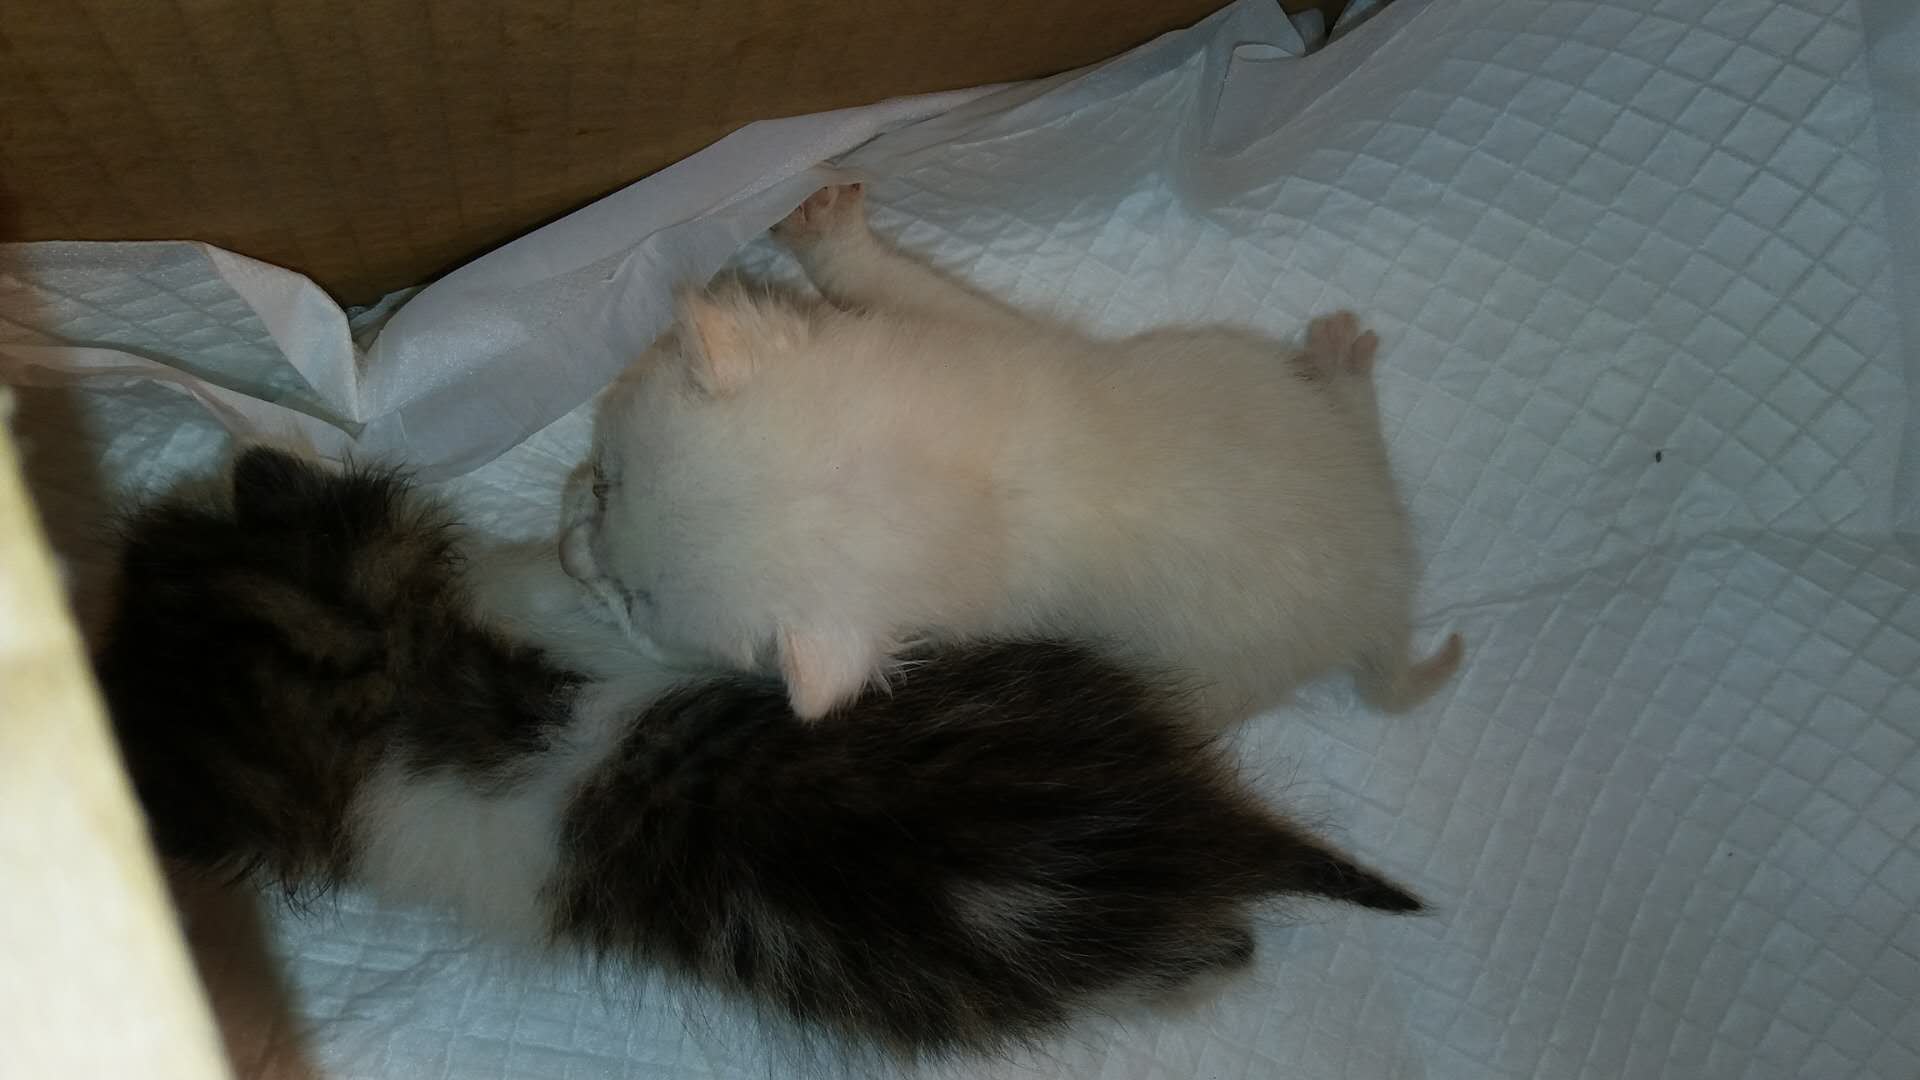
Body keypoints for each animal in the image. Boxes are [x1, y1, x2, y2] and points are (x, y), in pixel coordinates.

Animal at [560, 182, 1463, 723]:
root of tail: (1386, 596)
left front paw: (829, 235)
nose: (569, 557)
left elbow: (878, 274)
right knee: (1354, 427)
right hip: (1274, 390)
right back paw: (1342, 364)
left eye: (637, 608)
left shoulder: (963, 328)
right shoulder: (968, 340)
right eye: (606, 484)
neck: (971, 489)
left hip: (1216, 676)